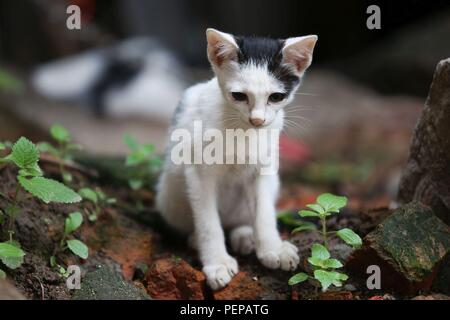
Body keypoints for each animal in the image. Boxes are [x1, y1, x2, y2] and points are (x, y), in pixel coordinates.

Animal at [156, 28, 318, 290]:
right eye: (239, 96)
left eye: (276, 97)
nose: (258, 120)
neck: (242, 130)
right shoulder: (198, 173)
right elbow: (209, 222)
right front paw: (217, 263)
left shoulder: (264, 168)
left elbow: (264, 211)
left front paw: (272, 248)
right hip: (169, 193)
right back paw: (197, 239)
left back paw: (244, 235)